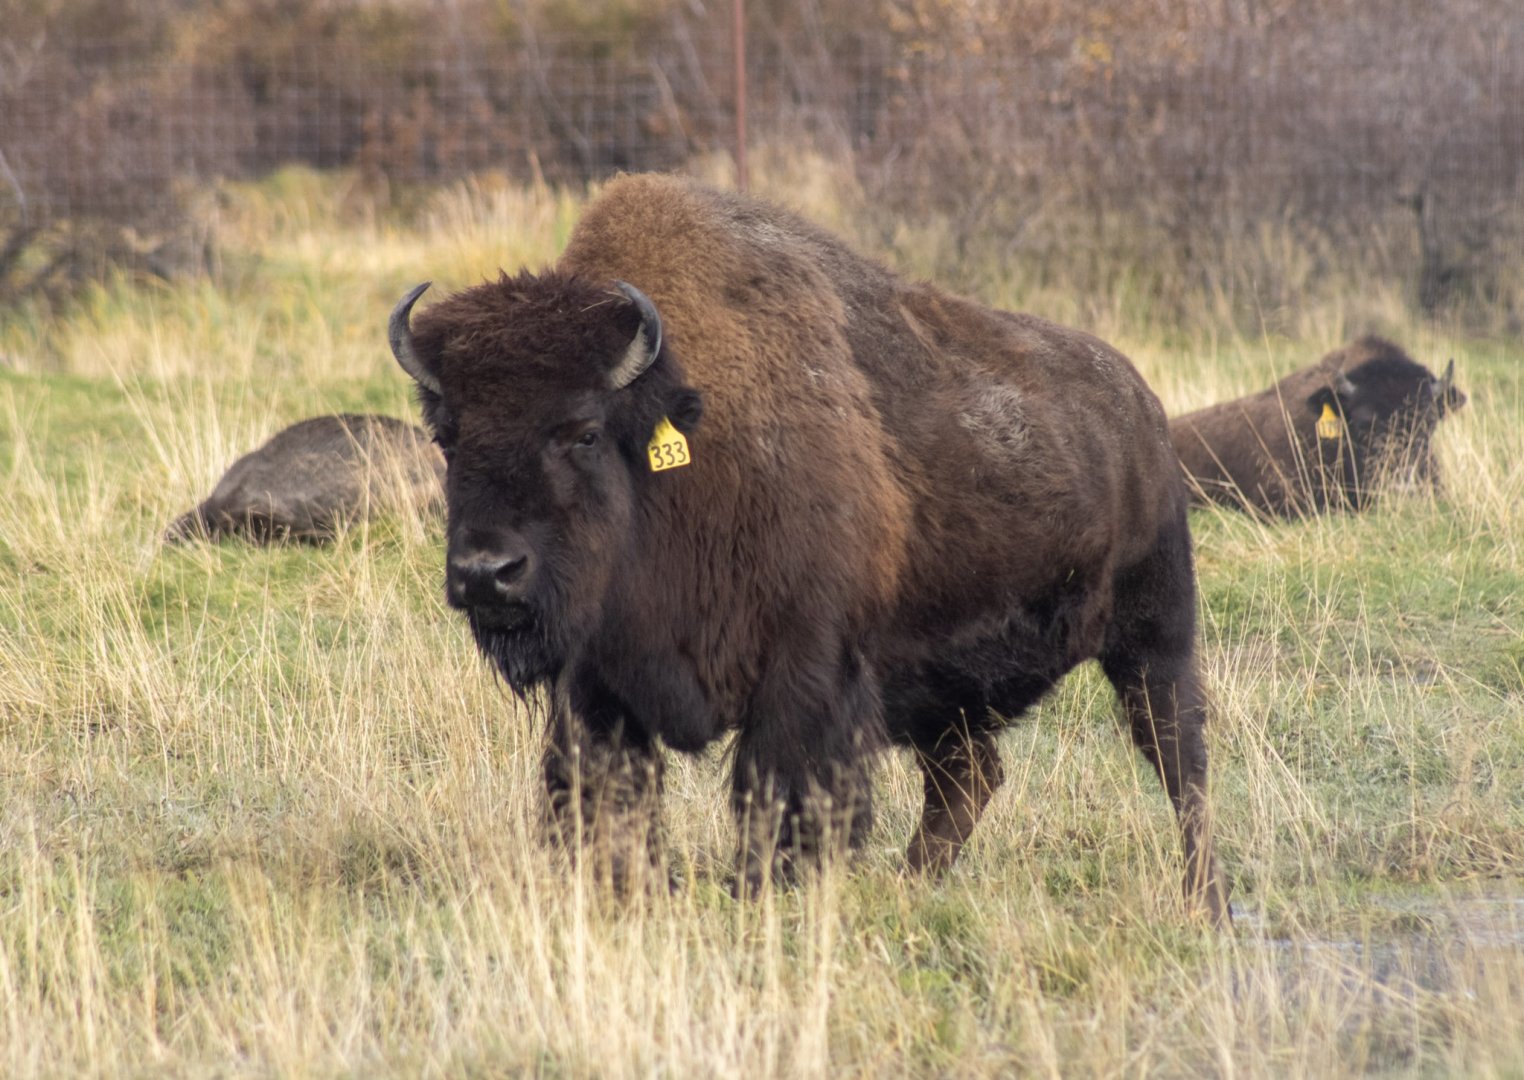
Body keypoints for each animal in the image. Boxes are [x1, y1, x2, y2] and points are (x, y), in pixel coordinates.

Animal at [389, 174, 1227, 922]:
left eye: (584, 433)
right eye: (447, 435)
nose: (487, 574)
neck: (682, 443)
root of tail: (1142, 405)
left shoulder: (804, 678)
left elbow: (777, 807)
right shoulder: (598, 691)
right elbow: (611, 810)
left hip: (1154, 638)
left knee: (1180, 764)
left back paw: (1201, 903)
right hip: (946, 692)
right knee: (969, 780)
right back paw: (909, 891)